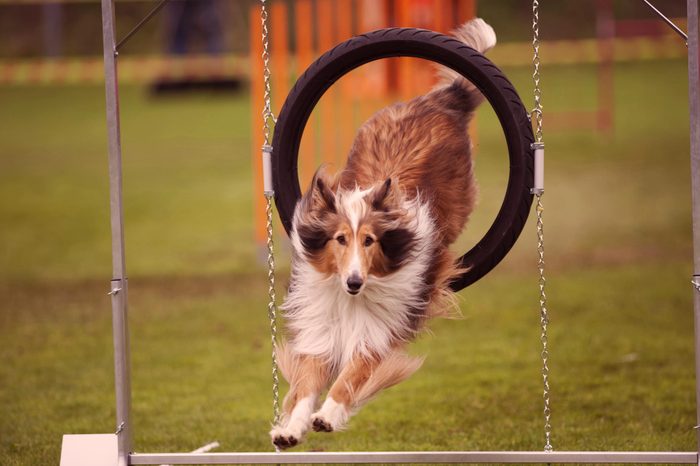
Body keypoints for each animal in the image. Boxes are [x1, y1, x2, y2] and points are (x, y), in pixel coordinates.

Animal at [270, 18, 494, 448]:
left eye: (370, 241)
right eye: (340, 239)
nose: (354, 282)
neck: (352, 300)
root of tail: (440, 102)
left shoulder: (379, 328)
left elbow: (352, 375)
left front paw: (328, 415)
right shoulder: (321, 327)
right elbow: (306, 382)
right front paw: (290, 428)